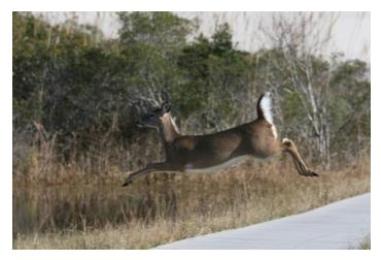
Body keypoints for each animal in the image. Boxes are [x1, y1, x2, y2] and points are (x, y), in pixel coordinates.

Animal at [122, 92, 318, 186]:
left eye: (151, 113)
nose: (138, 121)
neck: (172, 142)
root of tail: (263, 119)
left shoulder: (178, 163)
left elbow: (151, 164)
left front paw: (126, 180)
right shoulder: (175, 163)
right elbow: (151, 165)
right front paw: (127, 181)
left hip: (263, 150)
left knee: (288, 143)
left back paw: (309, 171)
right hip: (265, 148)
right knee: (287, 142)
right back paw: (306, 172)